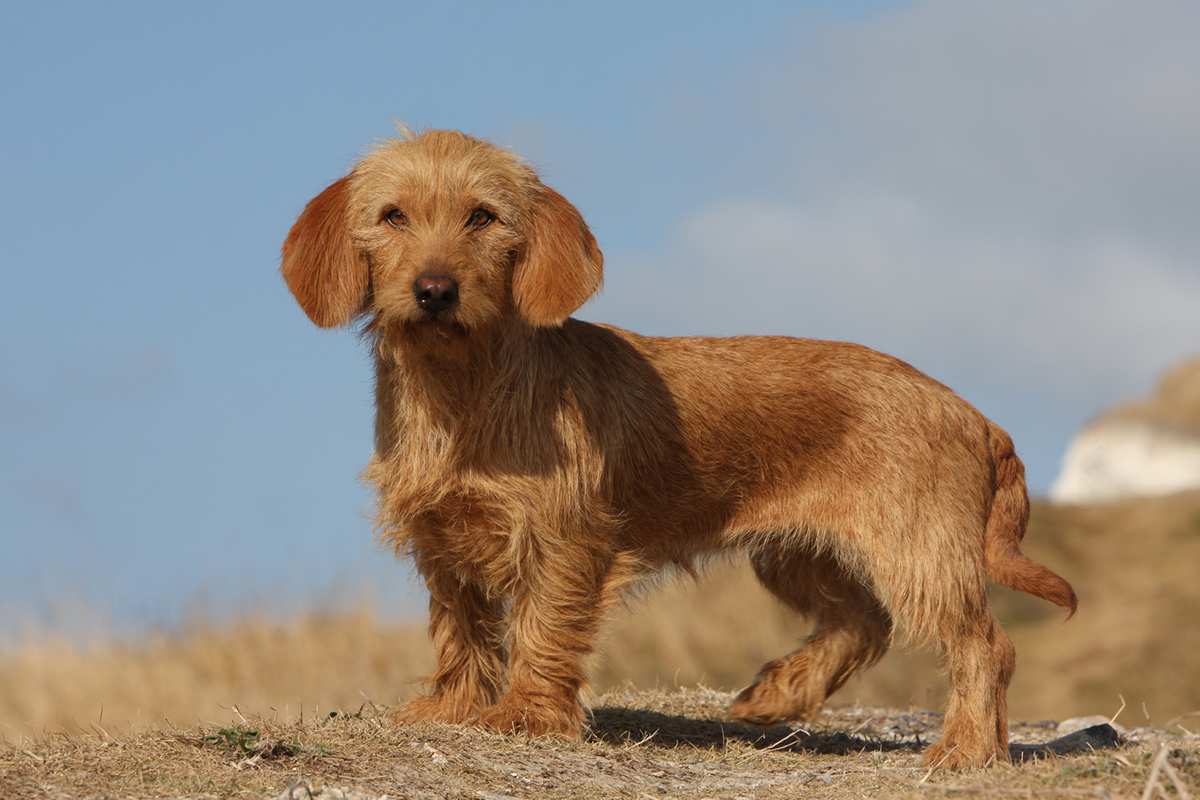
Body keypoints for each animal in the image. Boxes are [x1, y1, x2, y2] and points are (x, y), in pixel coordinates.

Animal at [283, 130, 1080, 767]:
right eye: (392, 216)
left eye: (482, 216)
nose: (435, 289)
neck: (463, 390)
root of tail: (975, 414)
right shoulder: (441, 539)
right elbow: (462, 630)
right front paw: (453, 707)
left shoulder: (564, 540)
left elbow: (542, 626)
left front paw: (527, 715)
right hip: (797, 556)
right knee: (864, 622)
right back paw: (777, 694)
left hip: (918, 554)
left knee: (984, 645)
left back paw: (966, 749)